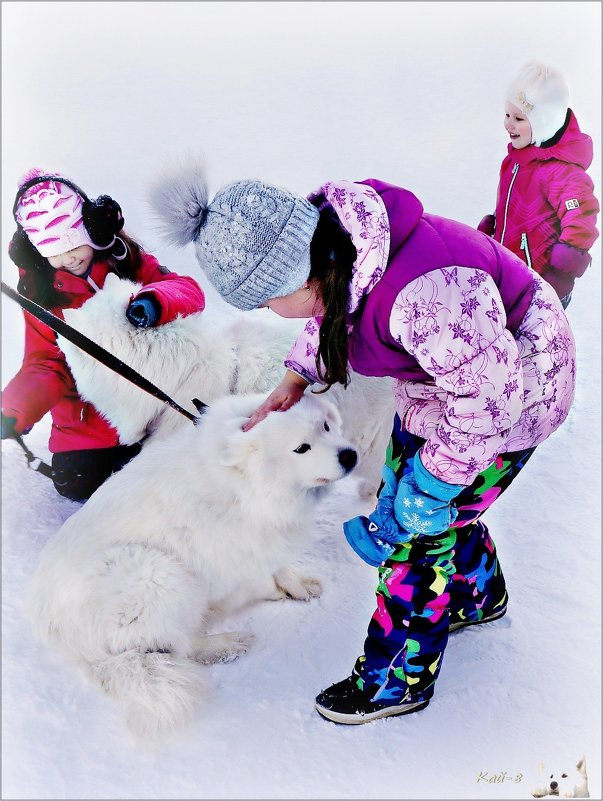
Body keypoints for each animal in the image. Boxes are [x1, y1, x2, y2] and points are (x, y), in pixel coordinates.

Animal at [27, 390, 358, 740]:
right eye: (301, 448)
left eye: (326, 426)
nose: (349, 456)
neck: (244, 484)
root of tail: (64, 640)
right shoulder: (229, 553)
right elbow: (258, 576)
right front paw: (276, 590)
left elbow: (277, 565)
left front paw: (298, 583)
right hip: (163, 574)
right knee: (182, 646)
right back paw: (227, 643)